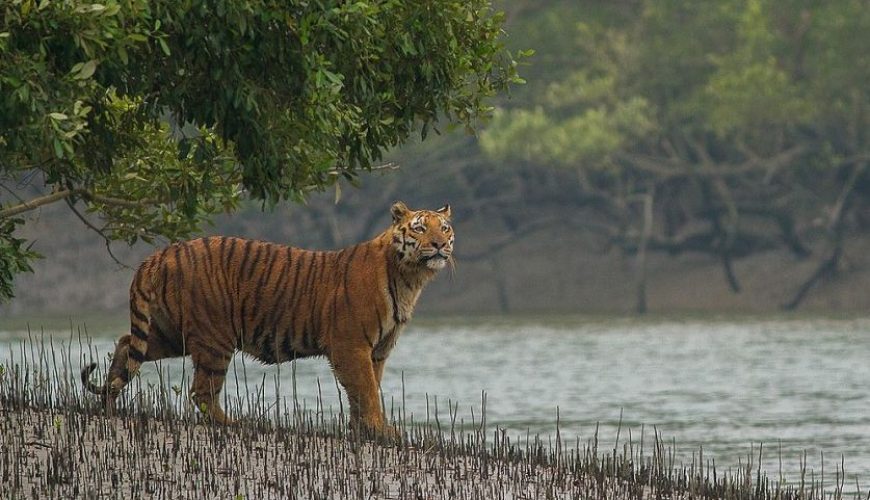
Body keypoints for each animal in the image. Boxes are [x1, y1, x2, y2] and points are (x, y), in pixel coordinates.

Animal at [81, 201, 453, 438]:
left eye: (444, 227)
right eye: (420, 228)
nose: (439, 244)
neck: (410, 277)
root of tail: (160, 254)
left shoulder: (377, 350)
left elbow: (367, 389)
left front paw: (364, 430)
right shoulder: (351, 345)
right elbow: (365, 390)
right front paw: (381, 431)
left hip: (171, 332)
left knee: (126, 345)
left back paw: (108, 404)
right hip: (214, 337)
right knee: (201, 391)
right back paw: (233, 424)